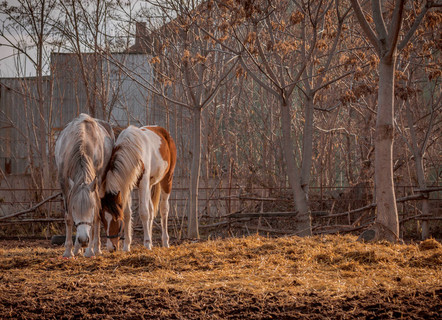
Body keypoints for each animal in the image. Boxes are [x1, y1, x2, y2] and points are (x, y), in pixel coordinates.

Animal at [54, 113, 114, 258]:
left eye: (91, 207)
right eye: (74, 208)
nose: (83, 240)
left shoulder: (96, 185)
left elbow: (95, 217)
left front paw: (90, 250)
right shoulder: (65, 186)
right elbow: (68, 218)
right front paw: (68, 250)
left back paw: (95, 248)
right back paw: (77, 248)